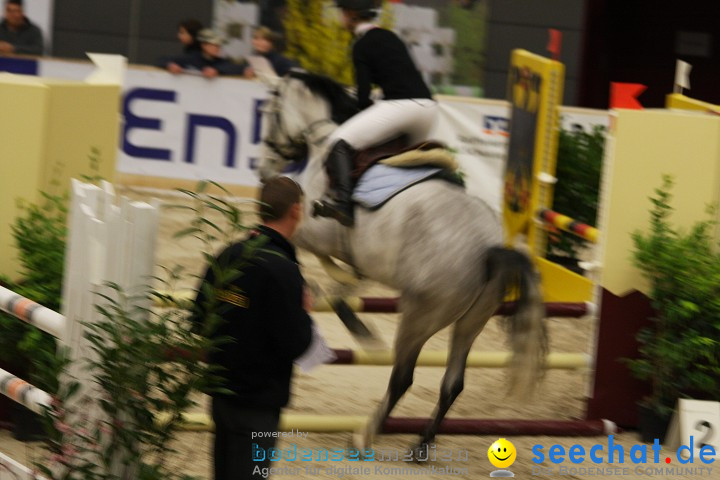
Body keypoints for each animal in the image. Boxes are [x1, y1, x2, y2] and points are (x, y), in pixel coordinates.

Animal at [258, 71, 544, 450]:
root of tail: (488, 250)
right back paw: (421, 444)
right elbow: (346, 277)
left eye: (268, 112)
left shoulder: (312, 229)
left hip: (419, 316)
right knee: (453, 381)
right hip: (472, 321)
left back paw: (365, 433)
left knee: (403, 377)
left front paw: (340, 304)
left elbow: (310, 255)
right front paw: (345, 297)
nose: (263, 170)